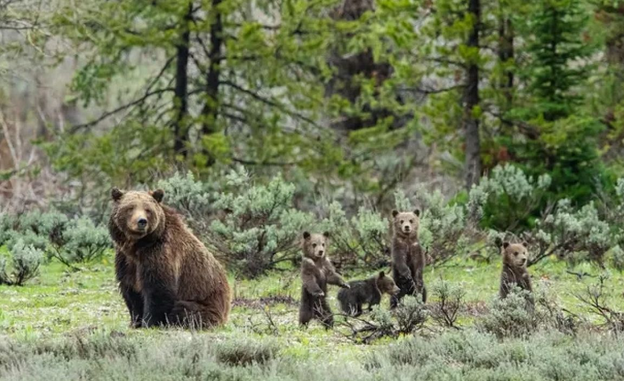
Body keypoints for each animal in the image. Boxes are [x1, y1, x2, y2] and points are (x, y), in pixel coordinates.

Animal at [109, 189, 232, 328]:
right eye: (130, 208)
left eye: (148, 209)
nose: (141, 221)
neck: (138, 246)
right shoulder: (126, 261)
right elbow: (131, 291)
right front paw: (135, 322)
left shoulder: (161, 254)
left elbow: (158, 290)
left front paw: (150, 322)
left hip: (204, 303)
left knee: (184, 310)